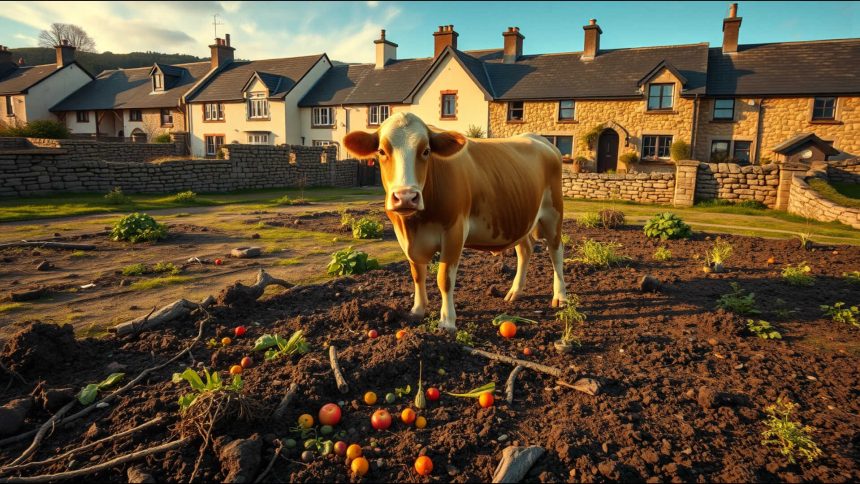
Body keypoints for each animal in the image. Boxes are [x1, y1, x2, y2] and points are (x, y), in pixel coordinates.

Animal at [343, 112, 567, 332]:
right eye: (381, 151)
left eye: (426, 151)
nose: (406, 197)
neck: (415, 224)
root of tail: (539, 139)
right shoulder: (406, 239)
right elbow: (417, 274)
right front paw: (417, 310)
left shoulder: (455, 231)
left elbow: (445, 278)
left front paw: (447, 321)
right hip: (521, 219)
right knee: (525, 250)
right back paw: (515, 291)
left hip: (553, 213)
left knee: (556, 252)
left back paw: (561, 296)